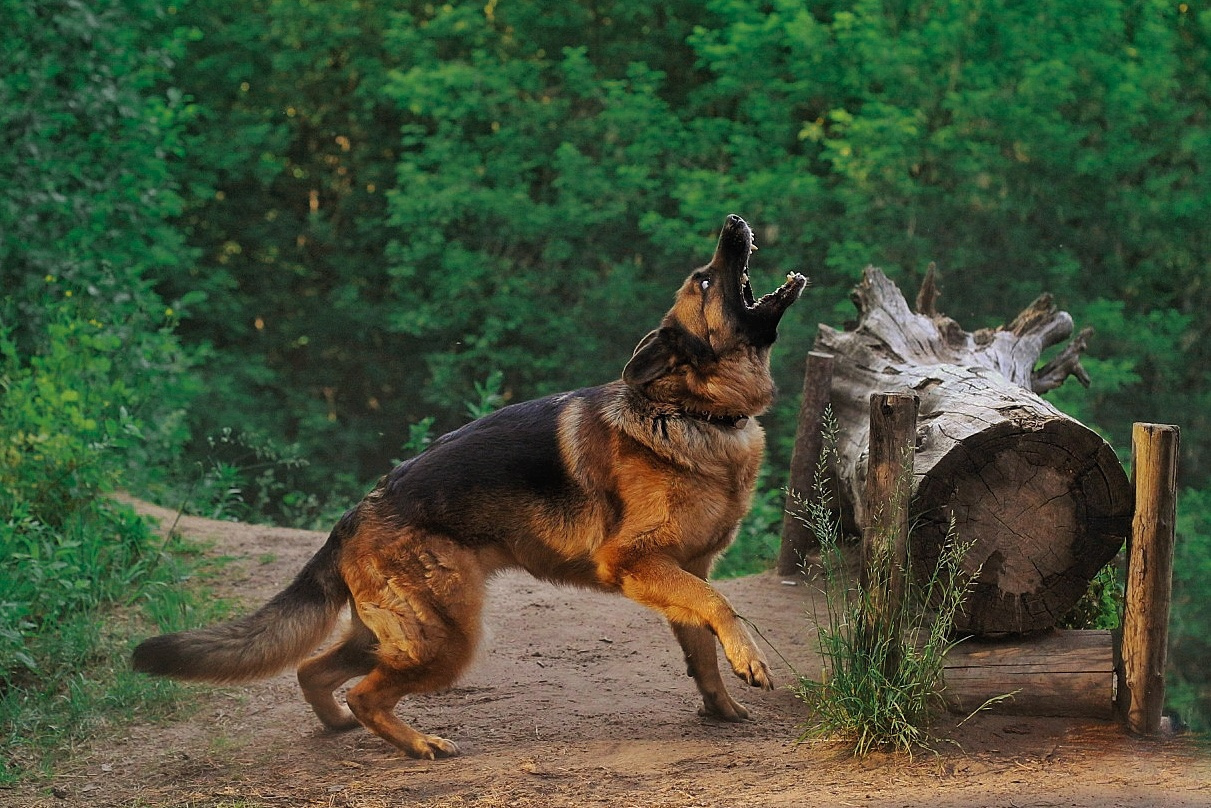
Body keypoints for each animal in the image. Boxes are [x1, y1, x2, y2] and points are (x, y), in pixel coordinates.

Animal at [135, 213, 804, 760]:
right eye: (706, 282)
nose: (734, 222)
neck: (693, 413)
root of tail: (354, 515)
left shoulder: (686, 568)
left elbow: (702, 647)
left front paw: (722, 707)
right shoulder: (635, 562)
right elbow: (721, 607)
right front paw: (750, 657)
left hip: (393, 636)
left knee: (314, 672)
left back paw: (339, 727)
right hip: (446, 639)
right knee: (364, 693)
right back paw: (417, 744)